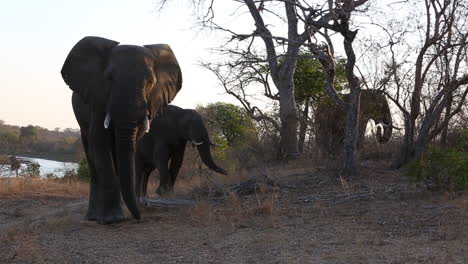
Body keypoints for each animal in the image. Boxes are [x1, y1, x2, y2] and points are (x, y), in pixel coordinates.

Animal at [61, 36, 185, 224]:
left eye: (150, 82)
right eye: (109, 78)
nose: (139, 215)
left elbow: (129, 146)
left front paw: (119, 216)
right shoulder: (98, 99)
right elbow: (99, 142)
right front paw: (112, 219)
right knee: (91, 156)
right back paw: (92, 217)